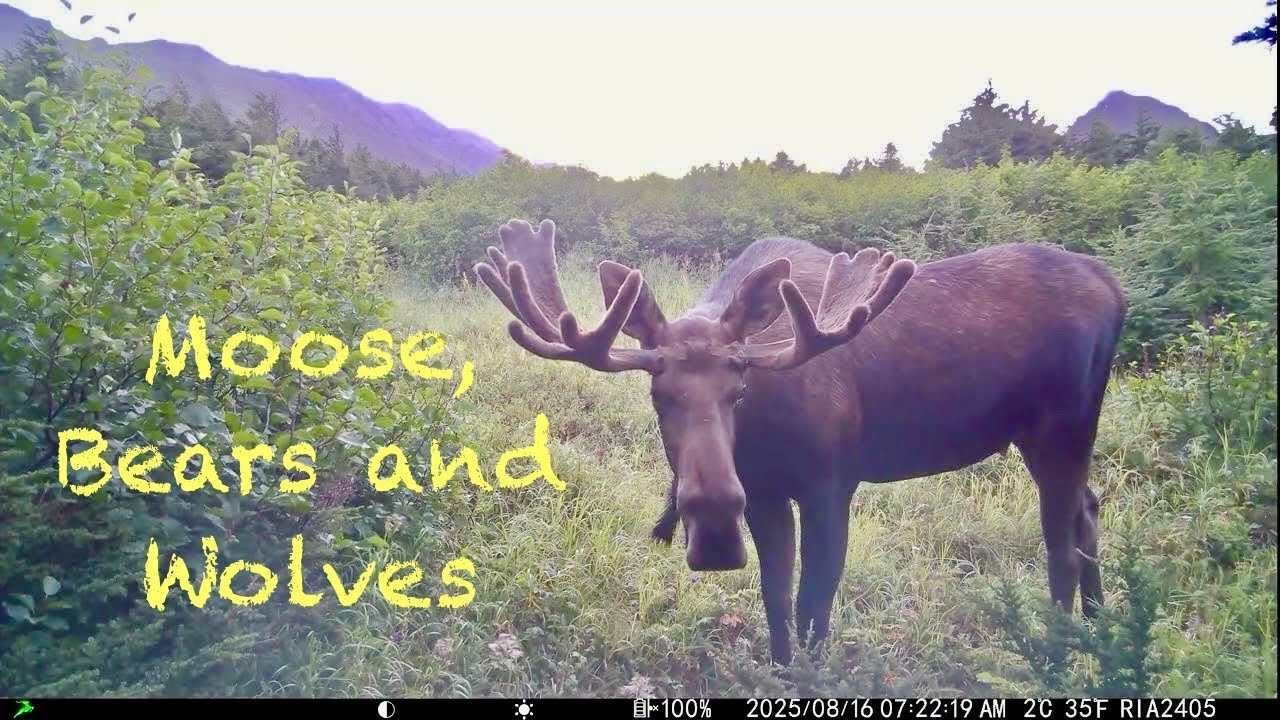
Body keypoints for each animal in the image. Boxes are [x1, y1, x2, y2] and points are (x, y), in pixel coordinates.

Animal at [473, 218, 1127, 666]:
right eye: (658, 393)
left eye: (739, 388)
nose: (713, 524)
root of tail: (1114, 286)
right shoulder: (763, 491)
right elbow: (776, 598)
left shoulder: (831, 484)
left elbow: (815, 603)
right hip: (1046, 438)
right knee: (1090, 511)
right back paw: (1100, 629)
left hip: (1063, 425)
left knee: (1062, 545)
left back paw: (1057, 654)